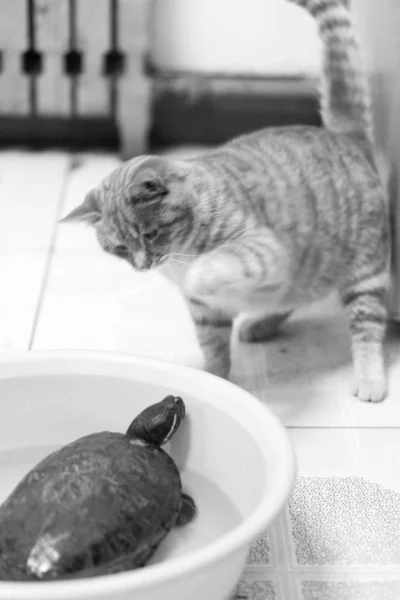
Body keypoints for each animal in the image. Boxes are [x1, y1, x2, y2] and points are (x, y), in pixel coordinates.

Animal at [63, 1, 390, 404]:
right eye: (121, 248)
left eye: (150, 234)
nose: (142, 266)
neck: (178, 255)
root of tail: (344, 134)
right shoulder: (206, 313)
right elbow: (215, 347)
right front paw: (213, 380)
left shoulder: (261, 247)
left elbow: (214, 267)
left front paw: (202, 275)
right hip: (311, 269)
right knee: (293, 296)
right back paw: (261, 324)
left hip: (364, 273)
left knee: (368, 327)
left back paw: (370, 378)